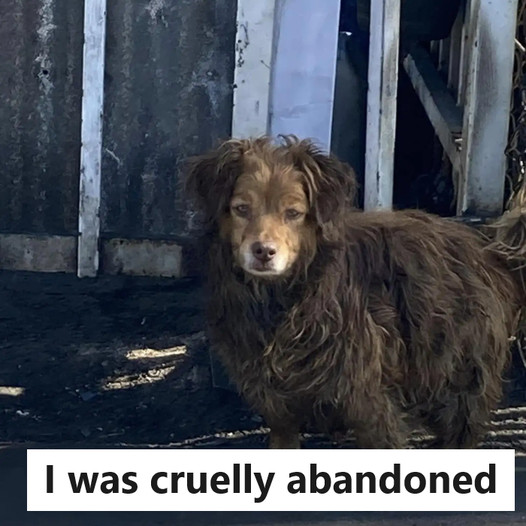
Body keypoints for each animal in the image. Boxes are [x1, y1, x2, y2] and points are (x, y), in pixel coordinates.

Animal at [188, 136, 524, 450]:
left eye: (293, 213)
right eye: (241, 209)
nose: (263, 252)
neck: (282, 299)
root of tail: (486, 248)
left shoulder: (367, 399)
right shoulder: (276, 403)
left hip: (459, 371)